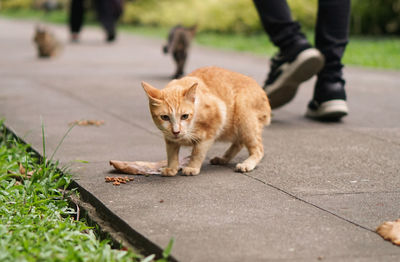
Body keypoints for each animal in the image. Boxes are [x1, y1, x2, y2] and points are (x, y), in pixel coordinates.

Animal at [141, 65, 272, 176]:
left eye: (184, 116)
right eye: (165, 117)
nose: (176, 131)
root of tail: (261, 90)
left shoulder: (212, 128)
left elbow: (197, 152)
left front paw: (192, 167)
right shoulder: (169, 138)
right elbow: (171, 153)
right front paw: (172, 168)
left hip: (244, 117)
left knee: (258, 149)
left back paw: (247, 164)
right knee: (239, 143)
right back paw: (223, 159)